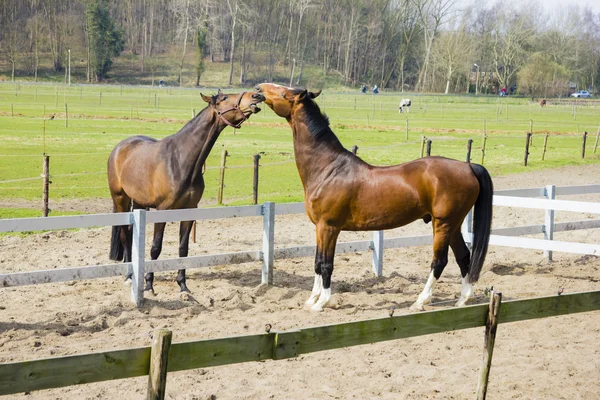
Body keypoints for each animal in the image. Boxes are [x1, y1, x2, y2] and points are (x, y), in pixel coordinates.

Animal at [107, 91, 264, 296]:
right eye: (223, 99)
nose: (256, 95)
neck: (179, 159)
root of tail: (119, 147)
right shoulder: (163, 211)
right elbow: (156, 248)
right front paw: (149, 285)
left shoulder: (189, 211)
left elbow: (183, 248)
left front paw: (183, 286)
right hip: (120, 200)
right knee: (125, 236)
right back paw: (128, 276)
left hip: (139, 202)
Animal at [254, 83, 492, 312]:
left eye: (284, 93)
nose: (257, 90)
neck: (328, 168)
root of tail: (468, 166)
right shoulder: (319, 228)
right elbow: (317, 262)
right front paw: (312, 299)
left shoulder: (329, 227)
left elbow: (326, 264)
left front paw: (323, 303)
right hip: (453, 225)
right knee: (464, 257)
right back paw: (463, 300)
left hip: (443, 224)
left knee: (440, 261)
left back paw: (420, 301)